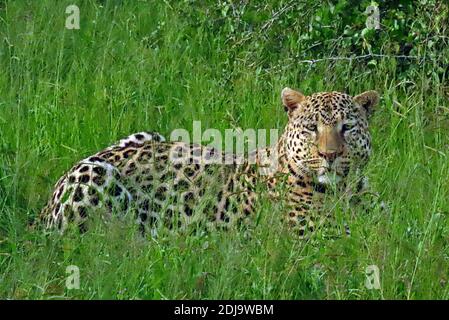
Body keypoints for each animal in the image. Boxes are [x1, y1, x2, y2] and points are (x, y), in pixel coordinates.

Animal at [39, 87, 378, 238]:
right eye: (311, 128)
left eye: (347, 127)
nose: (329, 155)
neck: (347, 190)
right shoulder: (316, 238)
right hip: (96, 174)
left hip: (148, 134)